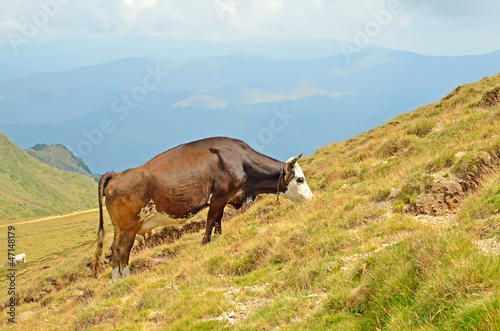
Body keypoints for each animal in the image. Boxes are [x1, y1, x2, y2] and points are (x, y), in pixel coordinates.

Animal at [93, 136, 312, 282]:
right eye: (300, 179)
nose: (311, 198)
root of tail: (117, 175)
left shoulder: (224, 198)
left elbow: (218, 221)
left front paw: (220, 238)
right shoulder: (219, 196)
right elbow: (210, 222)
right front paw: (206, 244)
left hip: (119, 228)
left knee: (114, 251)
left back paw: (116, 281)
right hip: (129, 227)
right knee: (122, 252)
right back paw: (126, 279)